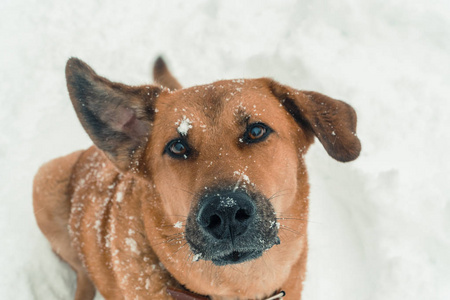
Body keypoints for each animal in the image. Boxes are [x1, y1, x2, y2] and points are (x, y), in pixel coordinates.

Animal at [33, 56, 360, 300]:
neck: (237, 288)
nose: (226, 212)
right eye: (177, 147)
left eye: (256, 131)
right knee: (81, 270)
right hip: (45, 181)